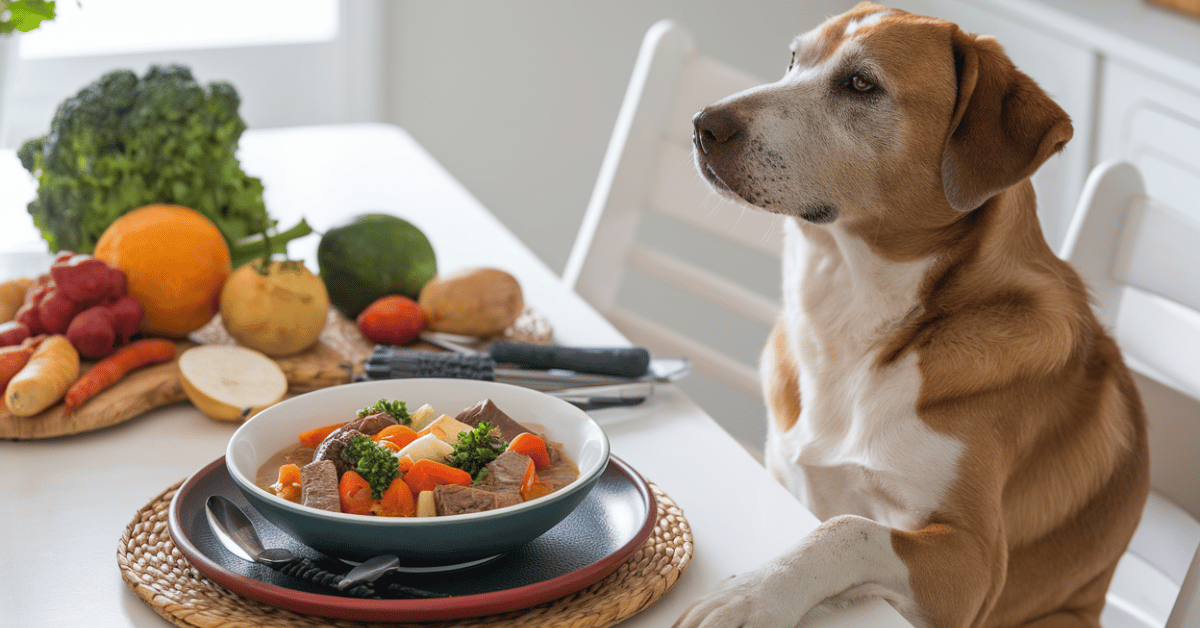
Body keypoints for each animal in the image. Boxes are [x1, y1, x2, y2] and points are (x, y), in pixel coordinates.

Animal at [681, 4, 1147, 628]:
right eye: (793, 60)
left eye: (861, 84)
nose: (703, 124)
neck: (851, 321)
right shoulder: (789, 476)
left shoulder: (973, 562)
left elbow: (848, 529)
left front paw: (752, 594)